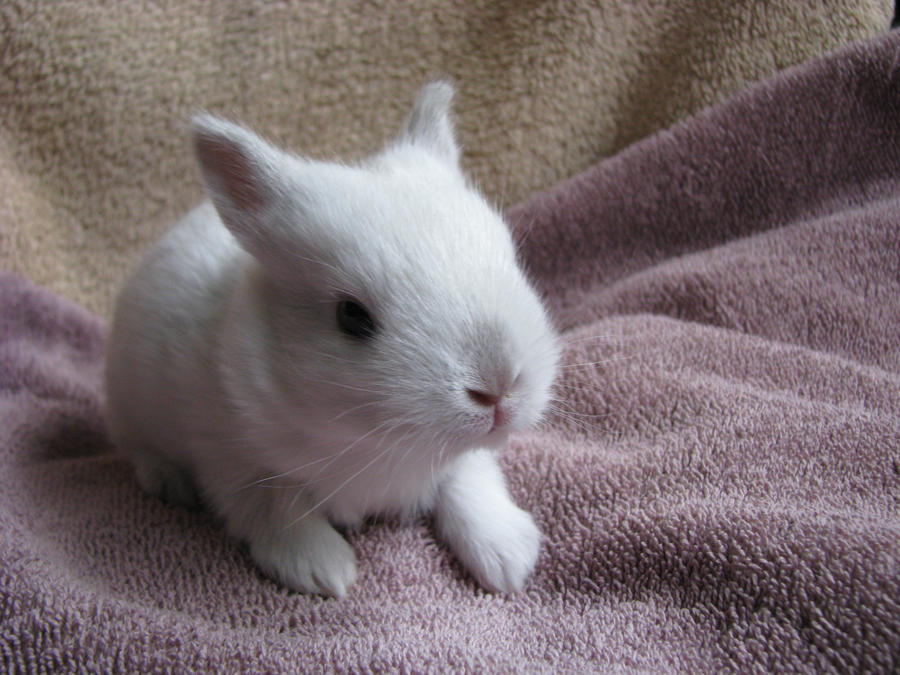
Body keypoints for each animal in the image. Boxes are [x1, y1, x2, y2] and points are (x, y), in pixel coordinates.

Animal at [104, 82, 560, 598]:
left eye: (511, 260)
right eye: (351, 316)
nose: (499, 387)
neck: (370, 443)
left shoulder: (462, 462)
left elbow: (469, 481)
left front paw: (508, 558)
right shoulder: (233, 462)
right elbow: (277, 511)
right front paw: (325, 571)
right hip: (129, 405)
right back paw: (168, 483)